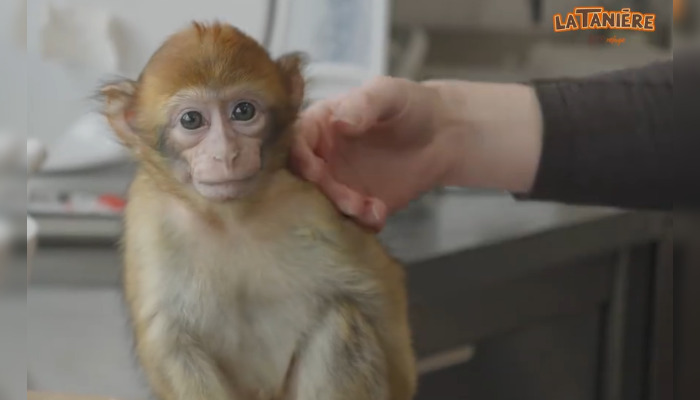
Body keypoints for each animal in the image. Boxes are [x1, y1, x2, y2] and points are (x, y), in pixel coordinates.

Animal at [98, 22, 416, 400]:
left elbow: (380, 290)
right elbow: (169, 340)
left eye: (243, 111)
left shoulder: (312, 206)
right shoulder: (149, 221)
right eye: (191, 119)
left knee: (343, 321)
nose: (225, 153)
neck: (230, 219)